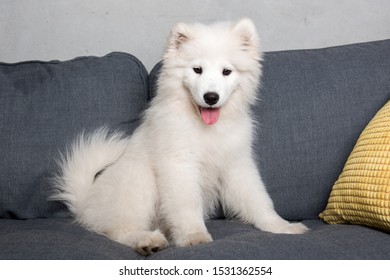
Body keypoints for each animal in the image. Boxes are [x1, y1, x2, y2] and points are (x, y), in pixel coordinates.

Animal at [52, 18, 308, 256]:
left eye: (226, 71)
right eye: (197, 70)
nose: (211, 97)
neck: (205, 129)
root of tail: (86, 204)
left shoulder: (237, 165)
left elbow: (258, 199)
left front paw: (281, 226)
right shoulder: (179, 166)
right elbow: (187, 205)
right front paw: (195, 237)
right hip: (138, 181)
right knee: (119, 230)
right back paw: (146, 241)